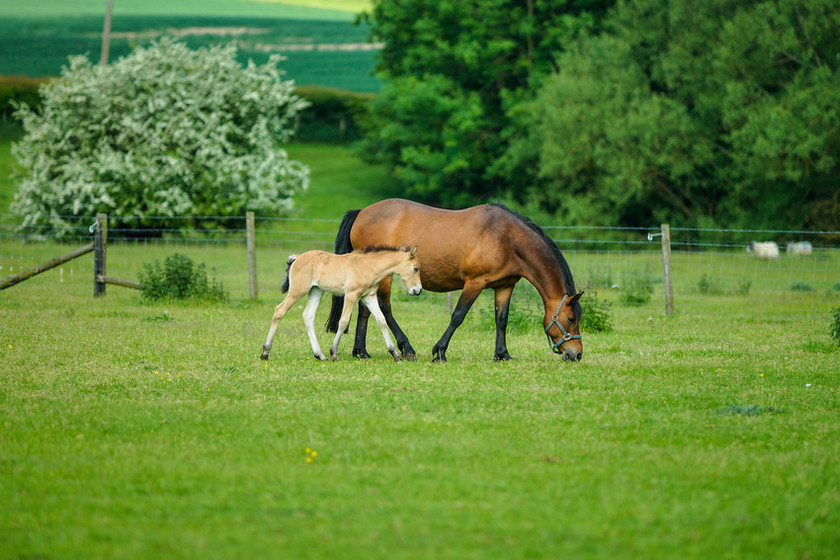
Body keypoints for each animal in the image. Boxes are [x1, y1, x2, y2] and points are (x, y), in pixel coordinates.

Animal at [260, 246, 420, 364]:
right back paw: (265, 352)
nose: (417, 290)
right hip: (298, 291)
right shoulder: (351, 295)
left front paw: (395, 354)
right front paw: (334, 353)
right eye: (416, 268)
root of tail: (298, 257)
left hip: (316, 291)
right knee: (279, 311)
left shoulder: (369, 297)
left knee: (308, 316)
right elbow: (343, 322)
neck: (369, 266)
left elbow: (381, 320)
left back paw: (320, 355)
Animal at [328, 199, 584, 360]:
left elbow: (502, 319)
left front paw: (502, 354)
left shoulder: (505, 286)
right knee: (384, 307)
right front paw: (440, 351)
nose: (577, 354)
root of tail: (362, 212)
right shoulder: (475, 283)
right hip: (386, 277)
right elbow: (458, 316)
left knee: (365, 309)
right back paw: (407, 348)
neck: (506, 237)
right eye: (571, 318)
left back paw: (361, 351)